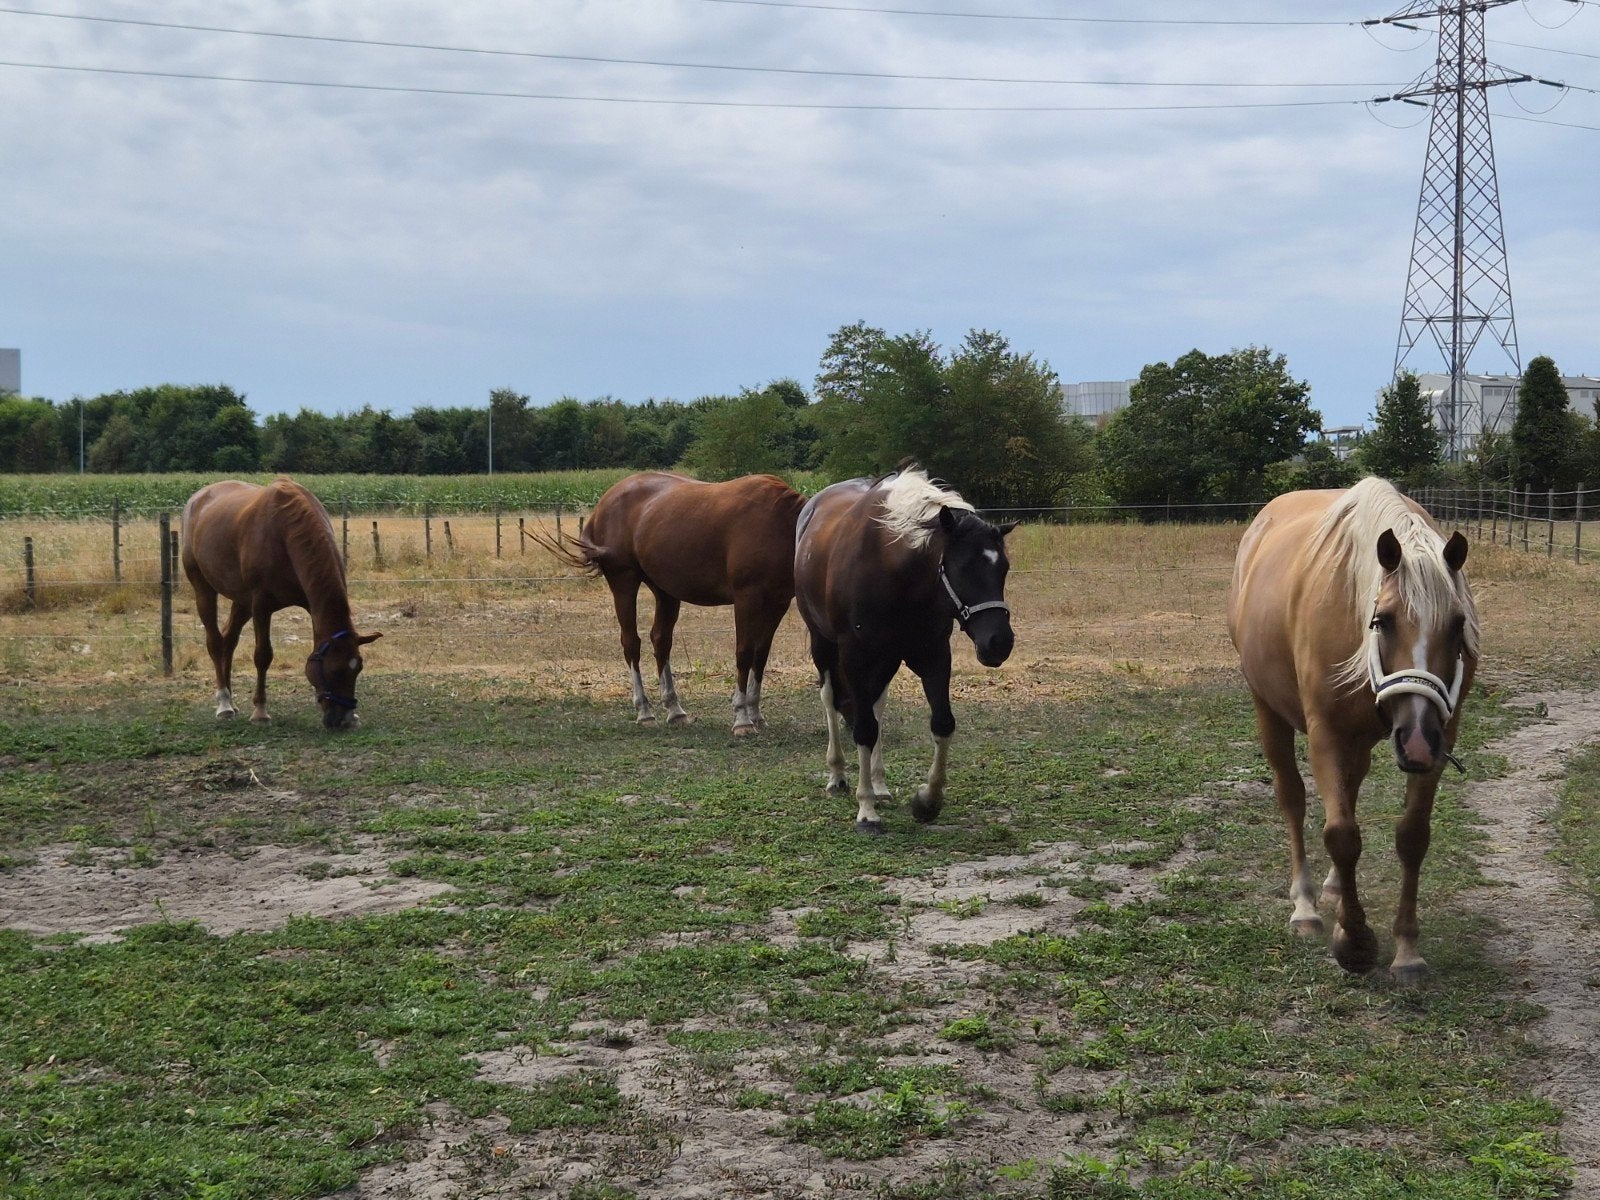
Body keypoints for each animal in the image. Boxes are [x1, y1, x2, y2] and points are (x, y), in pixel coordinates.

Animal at [181, 478, 381, 730]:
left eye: (358, 668)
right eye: (334, 670)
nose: (343, 719)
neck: (284, 533)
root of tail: (196, 499)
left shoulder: (310, 605)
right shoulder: (261, 606)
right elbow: (263, 655)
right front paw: (260, 711)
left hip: (241, 601)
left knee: (229, 639)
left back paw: (232, 702)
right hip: (204, 589)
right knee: (216, 642)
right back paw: (224, 704)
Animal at [538, 471, 806, 734]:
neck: (781, 525)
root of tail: (604, 503)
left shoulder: (777, 604)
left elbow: (760, 655)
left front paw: (756, 714)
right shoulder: (746, 600)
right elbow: (744, 653)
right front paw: (742, 719)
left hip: (665, 593)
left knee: (661, 640)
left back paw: (675, 710)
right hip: (624, 583)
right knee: (631, 643)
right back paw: (645, 712)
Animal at [794, 464, 1017, 834]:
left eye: (1004, 568)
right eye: (963, 567)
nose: (999, 643)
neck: (894, 570)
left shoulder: (934, 655)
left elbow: (942, 723)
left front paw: (927, 801)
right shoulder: (854, 657)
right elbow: (863, 728)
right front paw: (866, 811)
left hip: (886, 659)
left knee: (877, 706)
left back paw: (880, 785)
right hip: (823, 644)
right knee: (830, 699)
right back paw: (838, 776)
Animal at [1227, 476, 1478, 980]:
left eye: (1458, 624)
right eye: (1382, 621)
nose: (1417, 741)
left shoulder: (1442, 737)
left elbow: (1411, 836)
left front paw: (1406, 950)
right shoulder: (1326, 734)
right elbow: (1341, 834)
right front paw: (1355, 943)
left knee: (1353, 787)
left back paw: (1333, 889)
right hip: (1268, 709)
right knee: (1292, 797)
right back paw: (1306, 905)